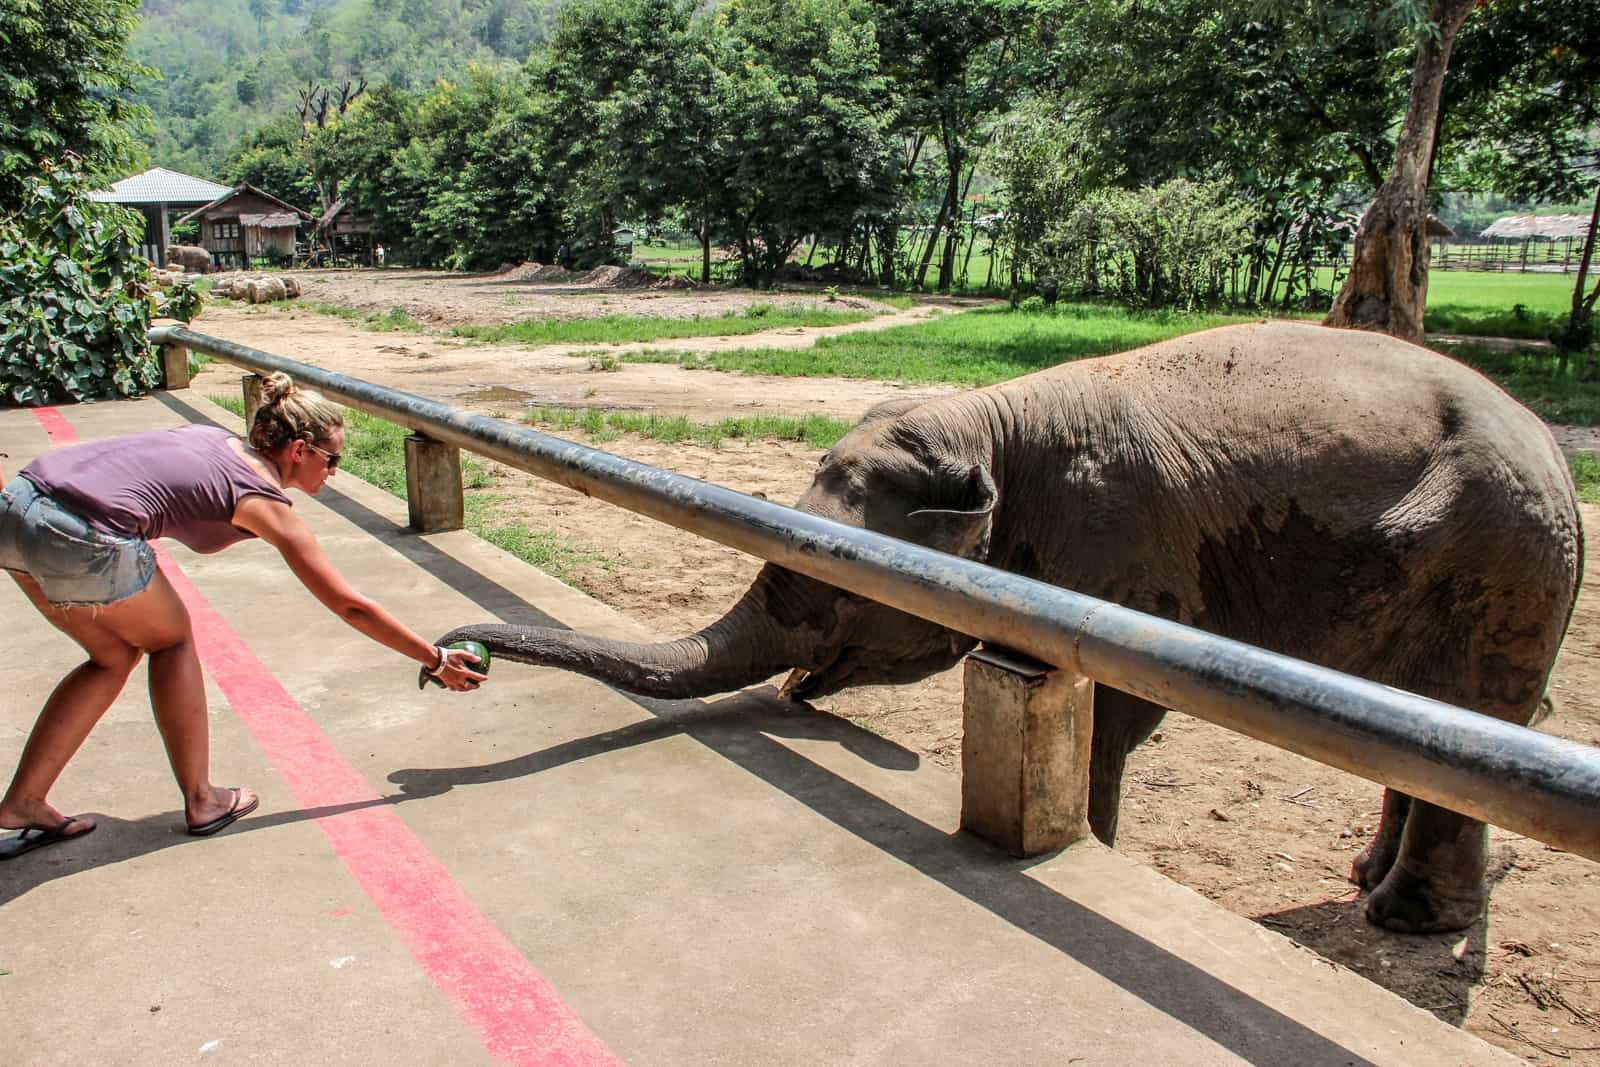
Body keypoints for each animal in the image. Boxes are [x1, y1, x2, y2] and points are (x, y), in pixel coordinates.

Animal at [432, 319, 1580, 934]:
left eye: (826, 588)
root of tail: (1554, 451)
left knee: (1465, 705)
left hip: (1497, 556)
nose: (456, 652)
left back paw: (1403, 917)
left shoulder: (1114, 545)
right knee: (1437, 722)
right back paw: (1369, 884)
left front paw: (1094, 850)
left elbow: (1111, 703)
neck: (985, 414)